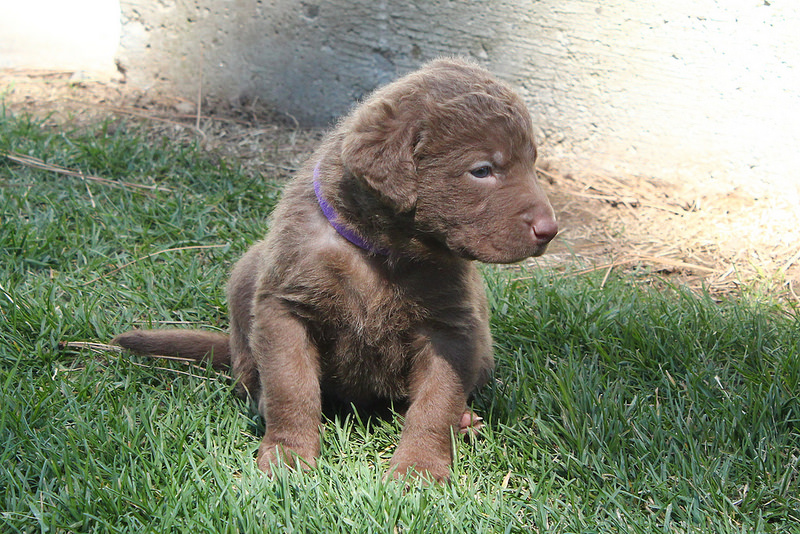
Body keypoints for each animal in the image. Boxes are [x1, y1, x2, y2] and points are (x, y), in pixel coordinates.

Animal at [115, 57, 560, 482]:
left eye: (532, 163)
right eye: (482, 170)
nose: (550, 230)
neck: (380, 251)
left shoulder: (452, 327)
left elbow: (437, 403)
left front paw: (419, 468)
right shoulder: (284, 307)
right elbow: (291, 388)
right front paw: (288, 456)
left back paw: (465, 422)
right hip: (248, 274)